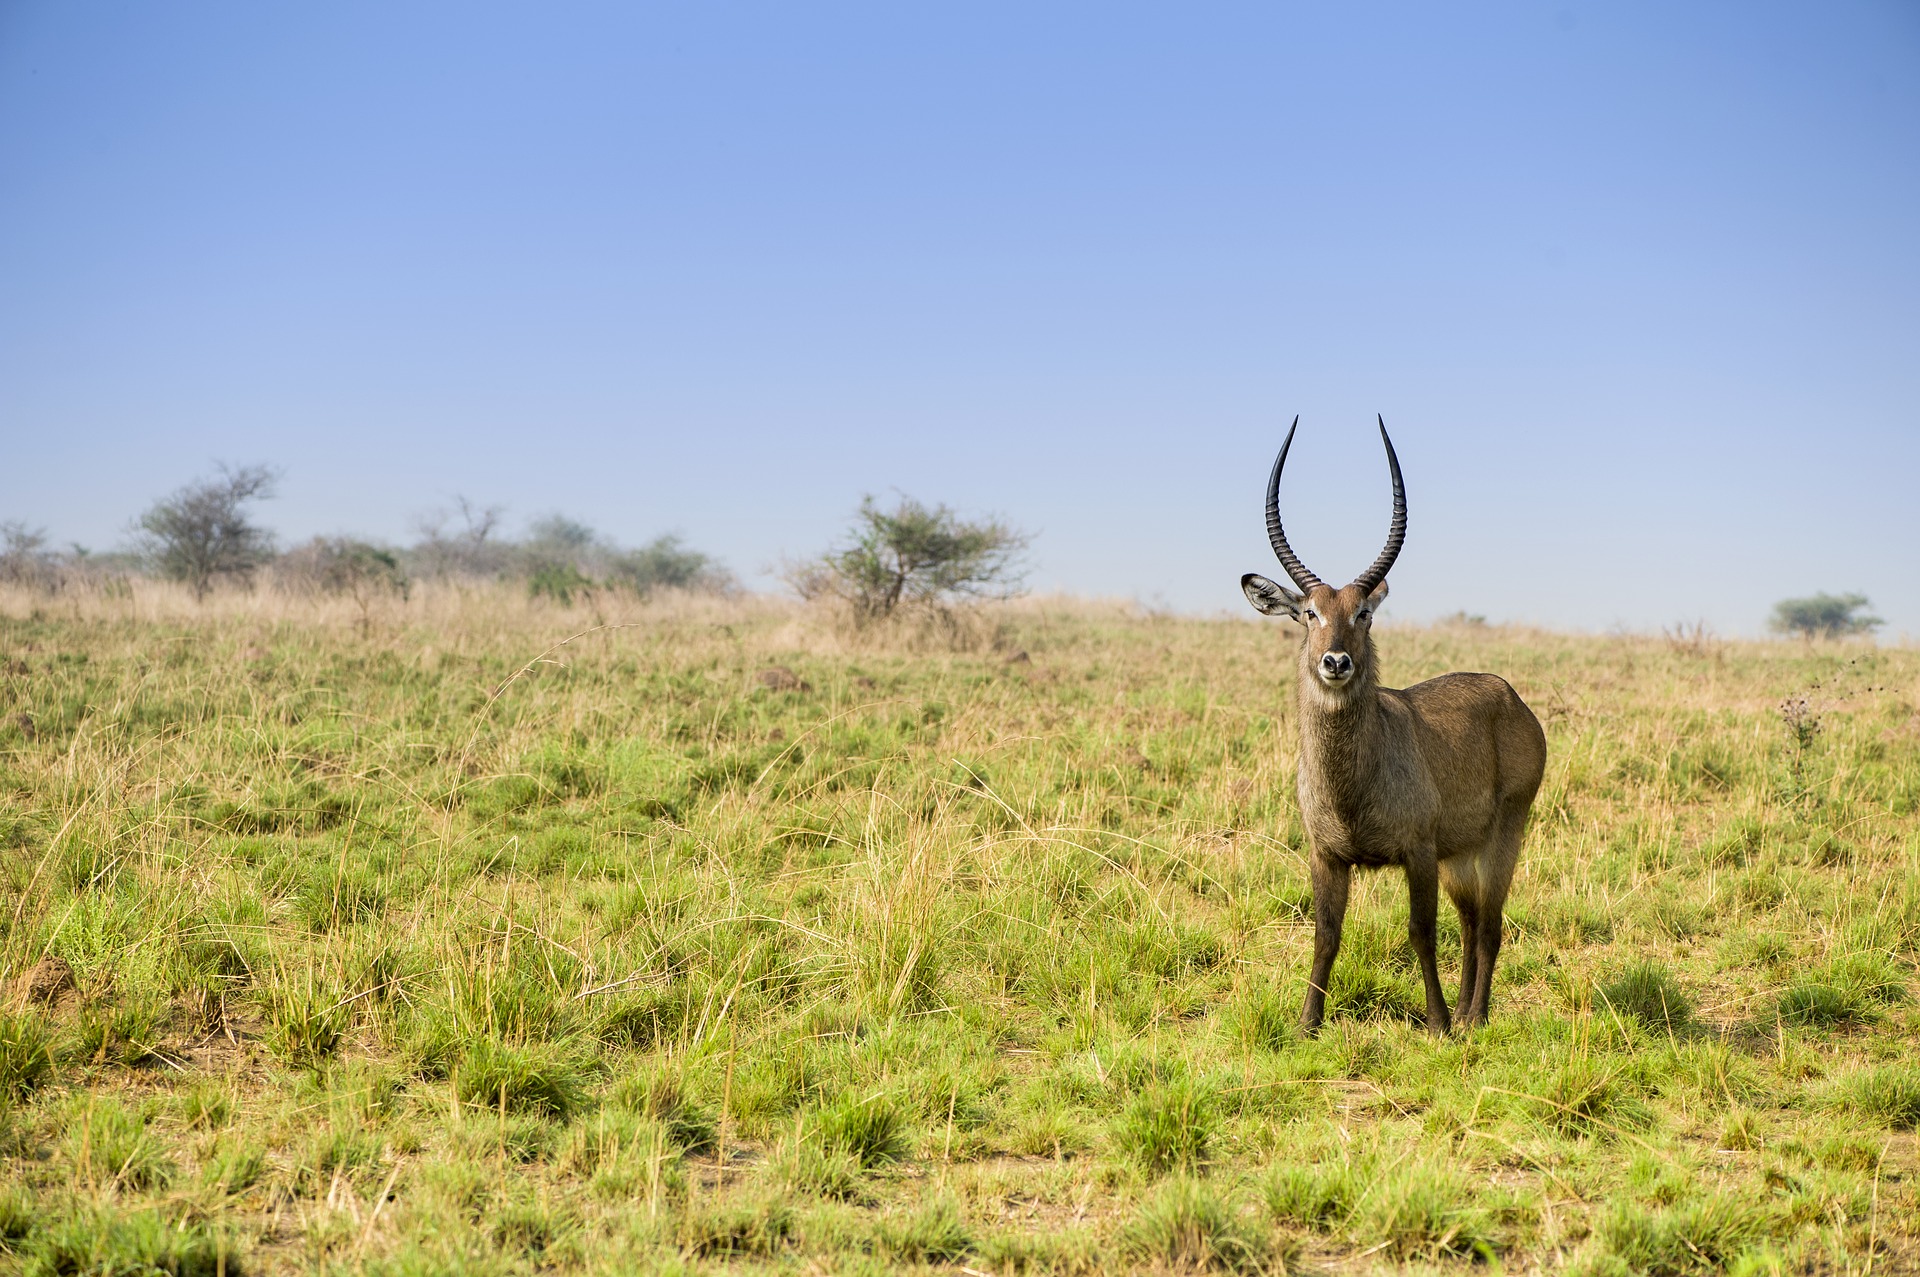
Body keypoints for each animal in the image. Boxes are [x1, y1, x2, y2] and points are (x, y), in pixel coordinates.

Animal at [1236, 412, 1551, 1029]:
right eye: (1309, 613)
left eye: (1363, 613)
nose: (1336, 662)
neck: (1352, 784)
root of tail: (1509, 695)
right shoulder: (1327, 856)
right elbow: (1325, 935)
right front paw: (1308, 1023)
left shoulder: (1418, 852)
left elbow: (1421, 933)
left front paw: (1436, 1023)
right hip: (1460, 855)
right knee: (1472, 922)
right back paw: (1466, 1013)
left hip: (1503, 832)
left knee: (1490, 924)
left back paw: (1473, 1018)